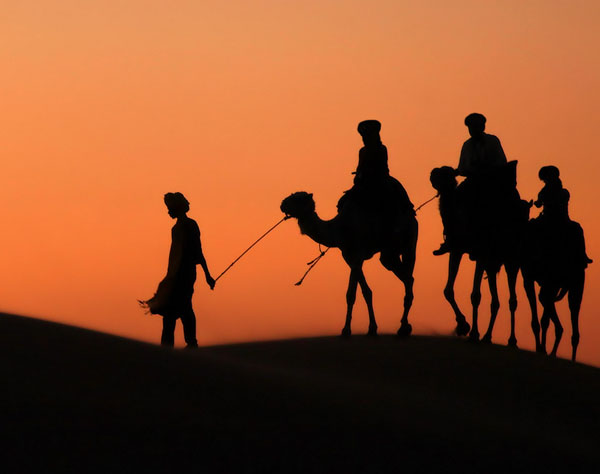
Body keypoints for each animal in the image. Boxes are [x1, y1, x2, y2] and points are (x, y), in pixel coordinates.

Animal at [280, 191, 418, 336]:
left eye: (298, 199)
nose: (282, 205)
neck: (337, 228)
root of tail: (412, 217)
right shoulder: (349, 257)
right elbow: (366, 292)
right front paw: (372, 328)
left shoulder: (357, 256)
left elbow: (351, 294)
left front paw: (346, 330)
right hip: (391, 252)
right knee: (406, 276)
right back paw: (405, 326)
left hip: (408, 243)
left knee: (408, 277)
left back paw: (403, 327)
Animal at [428, 163, 528, 344]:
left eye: (446, 173)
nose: (432, 173)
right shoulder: (457, 249)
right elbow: (448, 290)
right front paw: (463, 326)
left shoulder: (481, 254)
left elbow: (475, 295)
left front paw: (473, 332)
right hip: (493, 263)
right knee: (496, 301)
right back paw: (488, 336)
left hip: (512, 260)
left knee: (512, 299)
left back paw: (511, 340)